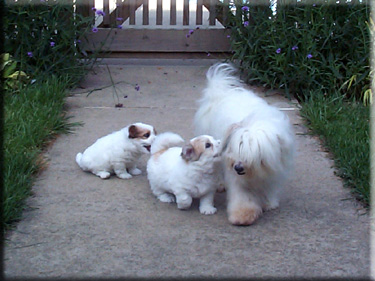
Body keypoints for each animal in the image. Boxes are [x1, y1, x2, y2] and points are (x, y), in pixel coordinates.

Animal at [194, 62, 296, 224]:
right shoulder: (236, 176)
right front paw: (242, 215)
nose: (238, 167)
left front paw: (269, 203)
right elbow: (242, 196)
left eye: (257, 152)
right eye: (238, 147)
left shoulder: (274, 170)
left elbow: (269, 187)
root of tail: (220, 93)